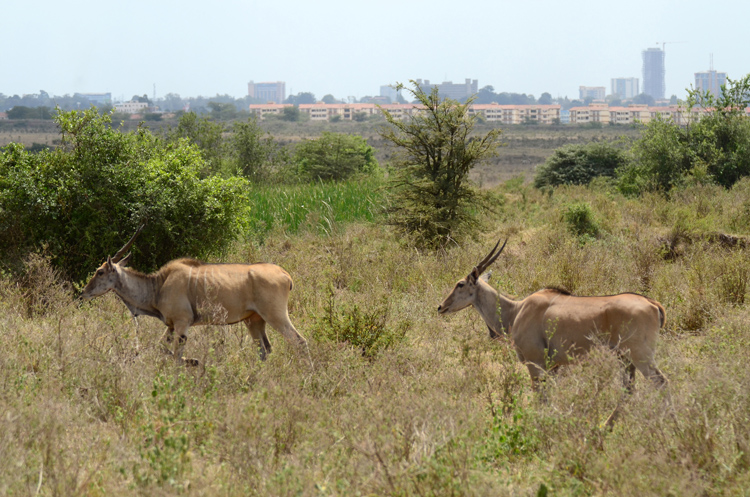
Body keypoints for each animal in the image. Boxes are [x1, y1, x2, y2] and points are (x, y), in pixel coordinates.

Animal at [81, 227, 306, 362]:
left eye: (99, 272)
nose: (83, 293)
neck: (158, 286)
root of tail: (284, 274)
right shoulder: (171, 325)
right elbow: (161, 347)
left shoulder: (183, 323)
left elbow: (175, 355)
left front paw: (193, 363)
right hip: (254, 321)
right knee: (265, 350)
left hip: (275, 316)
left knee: (299, 342)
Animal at [440, 238, 668, 390]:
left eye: (460, 284)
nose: (441, 307)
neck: (516, 310)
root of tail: (652, 303)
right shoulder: (554, 368)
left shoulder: (535, 364)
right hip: (625, 359)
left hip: (640, 356)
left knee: (661, 383)